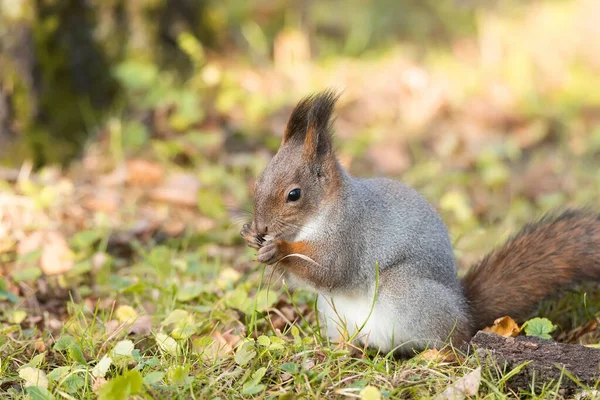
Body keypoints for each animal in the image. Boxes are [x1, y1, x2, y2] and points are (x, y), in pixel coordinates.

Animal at [240, 90, 600, 356]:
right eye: (258, 181)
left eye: (294, 194)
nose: (261, 227)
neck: (321, 214)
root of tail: (464, 312)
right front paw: (250, 238)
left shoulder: (349, 235)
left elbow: (330, 270)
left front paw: (278, 248)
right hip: (332, 312)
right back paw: (342, 348)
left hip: (407, 293)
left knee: (450, 341)